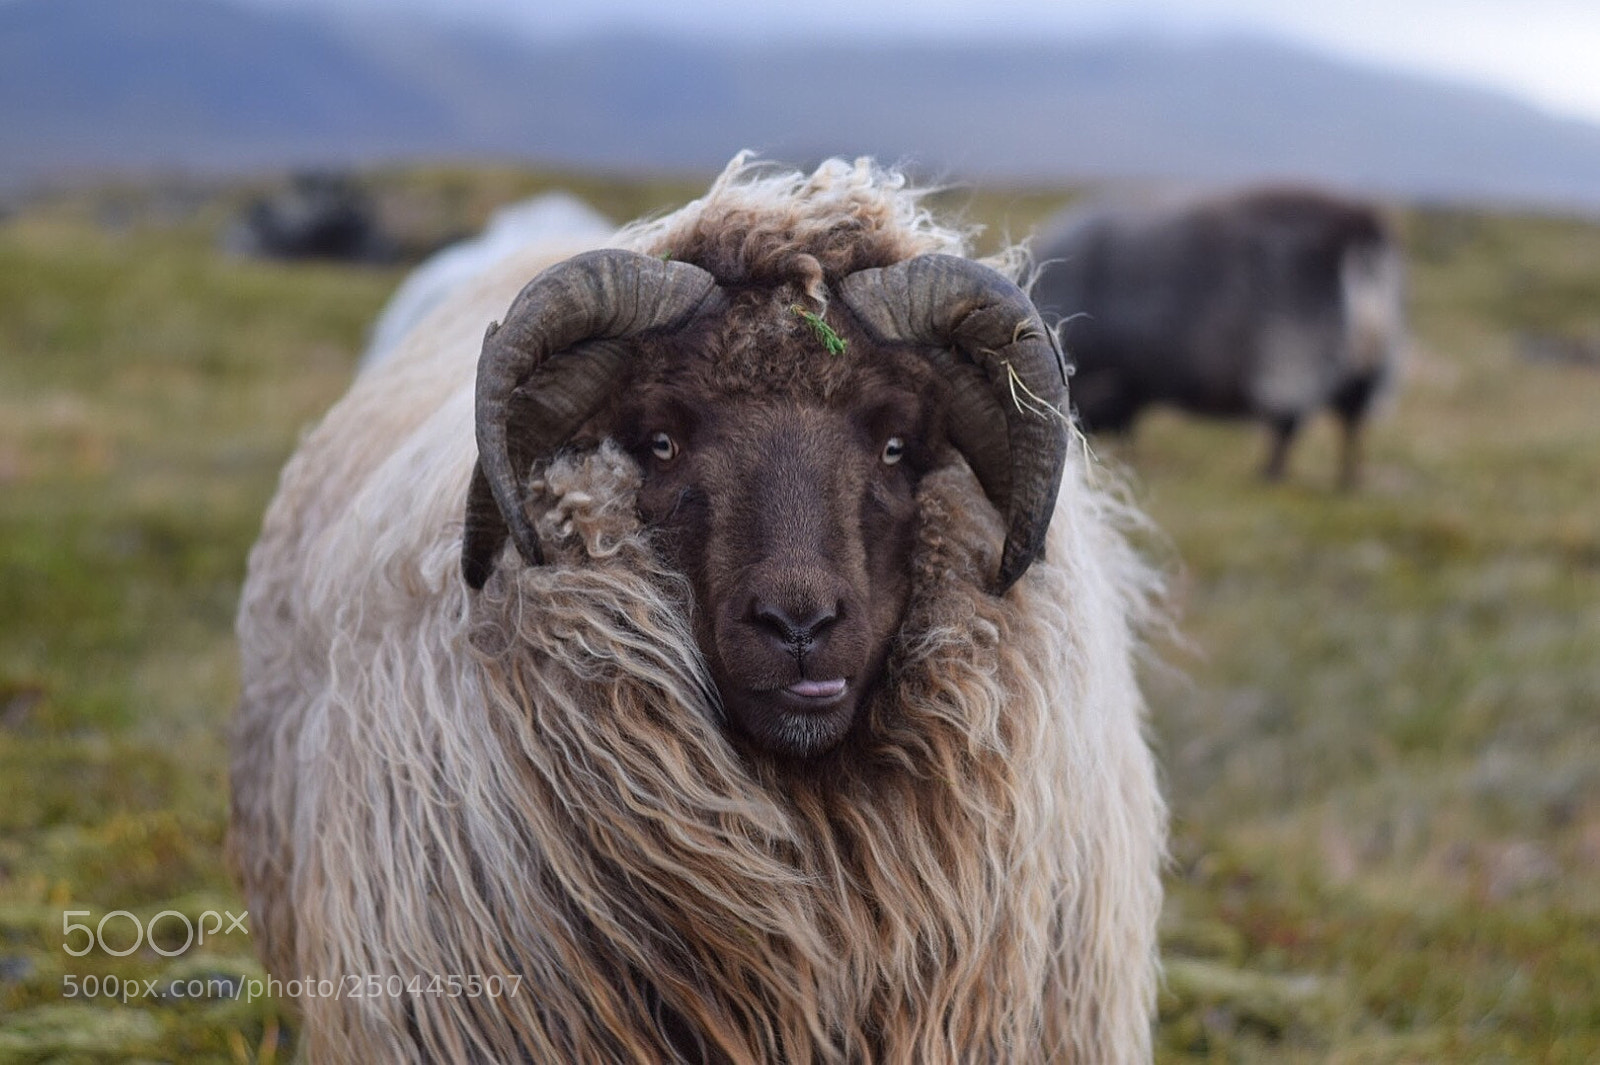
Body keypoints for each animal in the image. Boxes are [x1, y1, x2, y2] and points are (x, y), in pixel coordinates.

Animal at [1030, 187, 1407, 487]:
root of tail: (1359, 232)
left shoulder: (1116, 384)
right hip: (1367, 371)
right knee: (1352, 425)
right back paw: (1348, 479)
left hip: (1295, 360)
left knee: (1286, 426)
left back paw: (1271, 473)